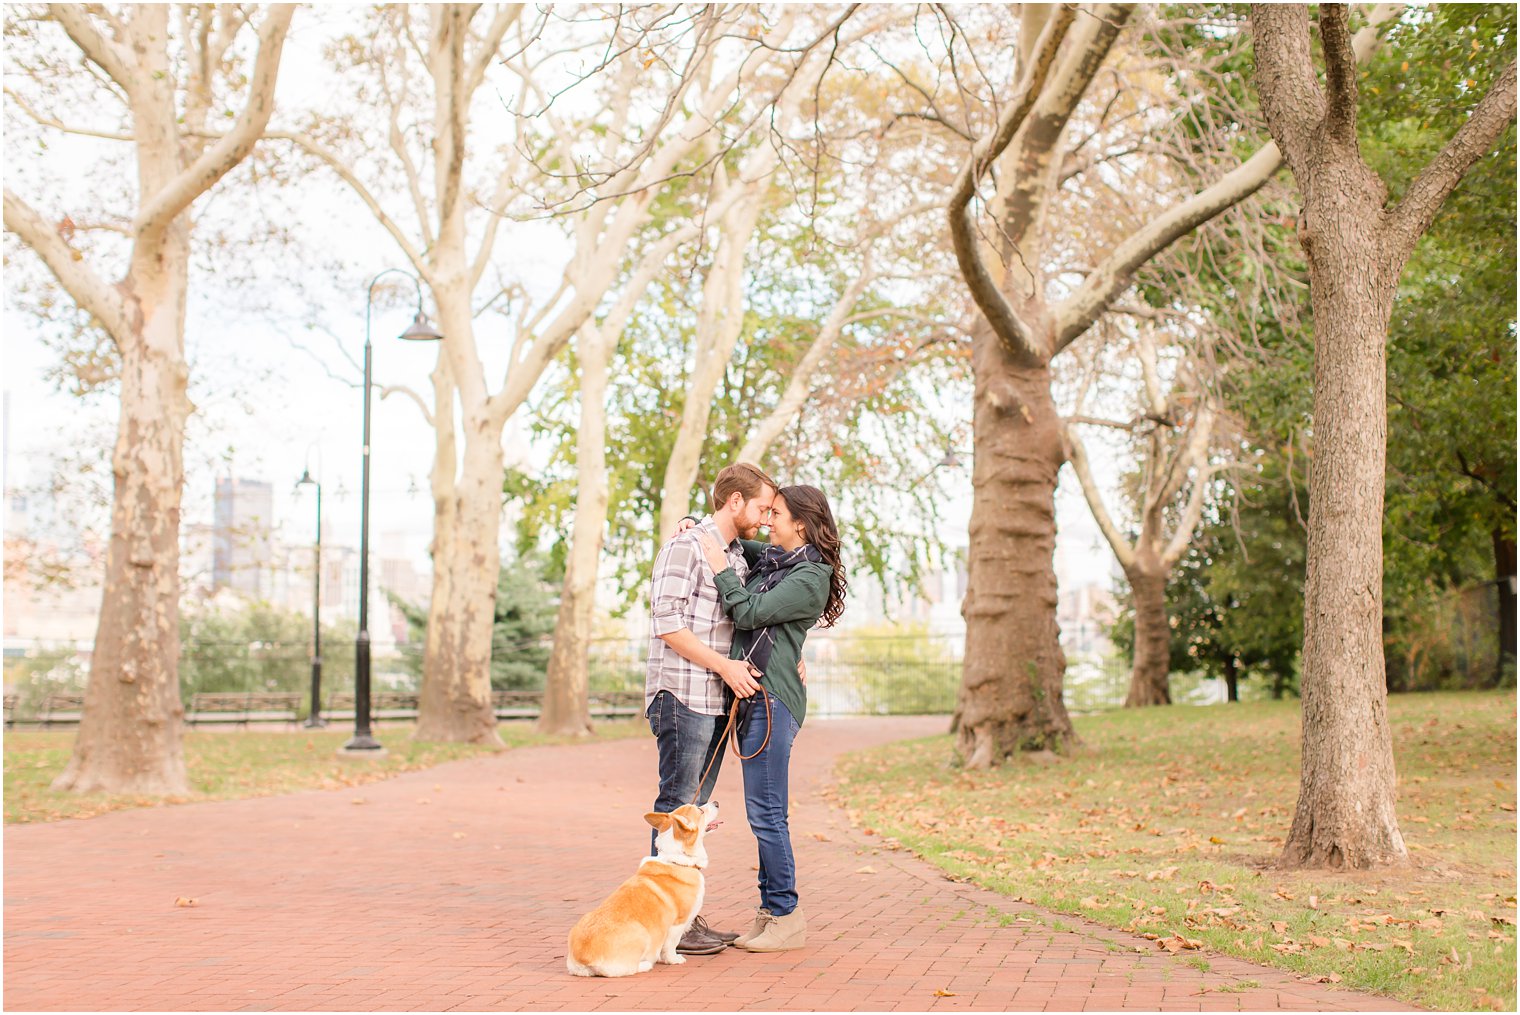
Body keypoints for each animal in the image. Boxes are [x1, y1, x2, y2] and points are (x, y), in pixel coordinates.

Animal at [568, 802, 720, 972]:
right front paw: (674, 960)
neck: (676, 859)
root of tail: (584, 959)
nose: (716, 803)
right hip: (642, 934)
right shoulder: (678, 923)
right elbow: (671, 945)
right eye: (700, 810)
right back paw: (647, 964)